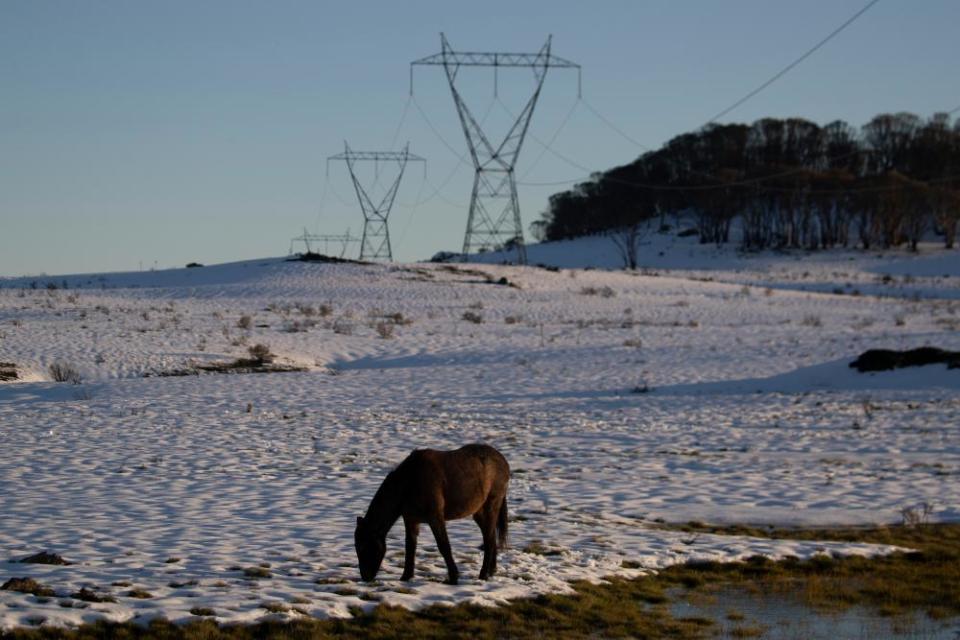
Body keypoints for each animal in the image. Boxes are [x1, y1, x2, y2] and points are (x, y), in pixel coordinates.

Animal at [354, 444, 510, 584]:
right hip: (479, 513)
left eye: (363, 546)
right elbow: (410, 547)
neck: (409, 482)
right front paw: (406, 576)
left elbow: (444, 546)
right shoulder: (411, 519)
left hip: (491, 507)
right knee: (490, 537)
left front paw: (453, 577)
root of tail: (503, 461)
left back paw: (483, 575)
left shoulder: (435, 518)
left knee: (489, 540)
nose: (365, 577)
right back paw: (491, 571)